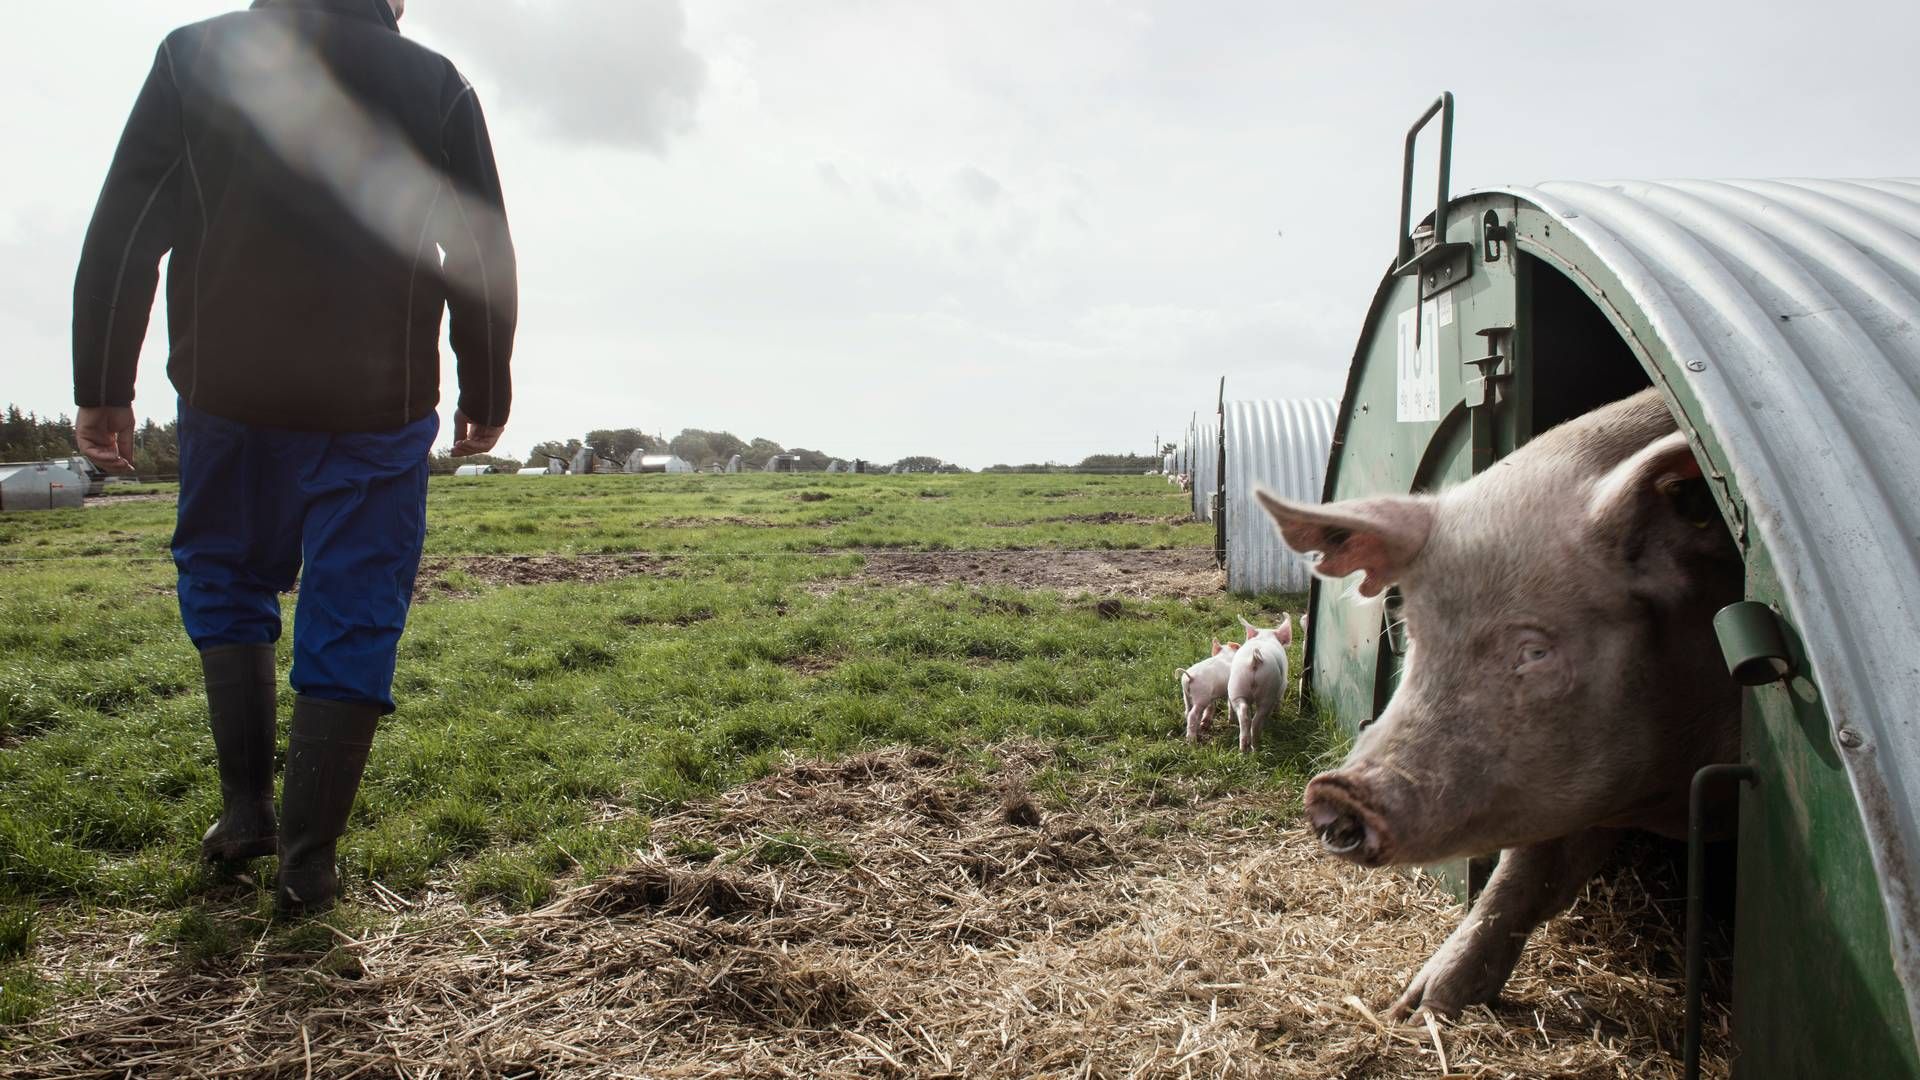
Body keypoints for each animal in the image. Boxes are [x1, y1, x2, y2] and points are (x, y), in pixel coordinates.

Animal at [1228, 611, 1290, 753]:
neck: (1265, 636)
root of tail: (1255, 659)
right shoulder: (1283, 684)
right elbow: (1279, 700)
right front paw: (1277, 715)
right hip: (1268, 690)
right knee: (1256, 720)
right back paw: (1256, 748)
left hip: (1236, 686)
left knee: (1244, 714)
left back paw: (1243, 749)